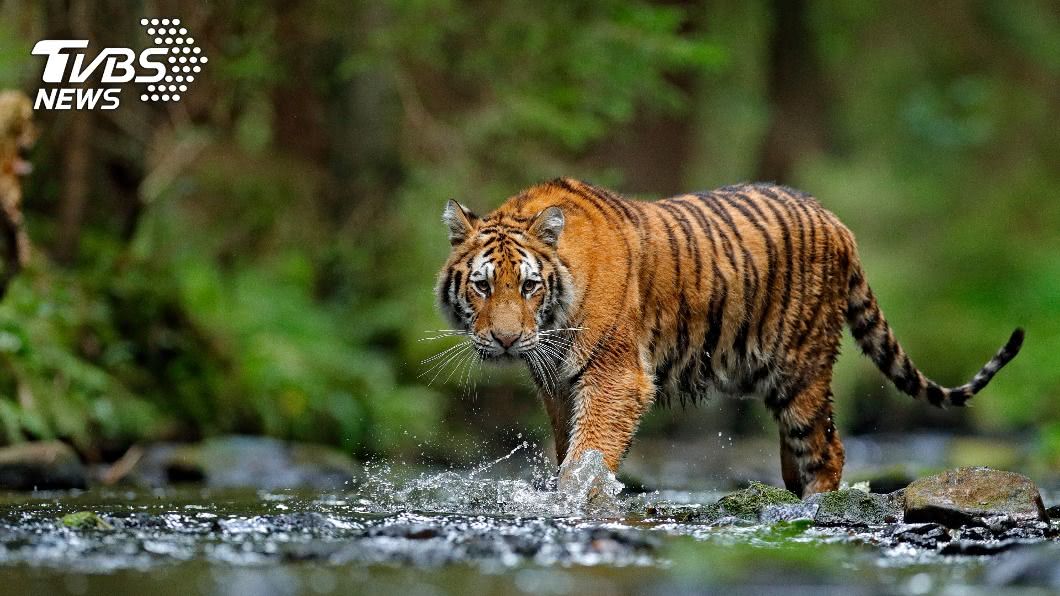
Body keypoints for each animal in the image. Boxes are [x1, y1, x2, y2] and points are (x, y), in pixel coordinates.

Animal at [435, 177, 1023, 497]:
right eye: (483, 286)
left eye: (529, 286)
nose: (506, 341)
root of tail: (837, 221)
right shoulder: (557, 385)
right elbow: (568, 450)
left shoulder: (614, 377)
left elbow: (588, 455)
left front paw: (576, 501)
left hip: (801, 368)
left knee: (827, 448)